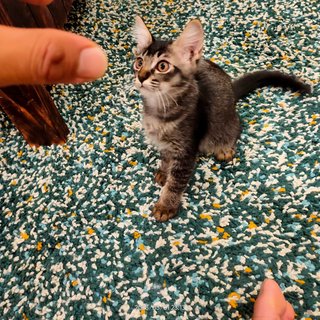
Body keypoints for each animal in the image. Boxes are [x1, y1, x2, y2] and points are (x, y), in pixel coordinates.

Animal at [131, 16, 312, 221]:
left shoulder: (187, 148)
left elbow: (176, 182)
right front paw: (164, 170)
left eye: (162, 66)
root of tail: (232, 90)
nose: (141, 76)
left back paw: (225, 148)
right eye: (139, 62)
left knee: (237, 127)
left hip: (226, 122)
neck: (159, 109)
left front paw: (166, 205)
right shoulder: (166, 143)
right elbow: (165, 156)